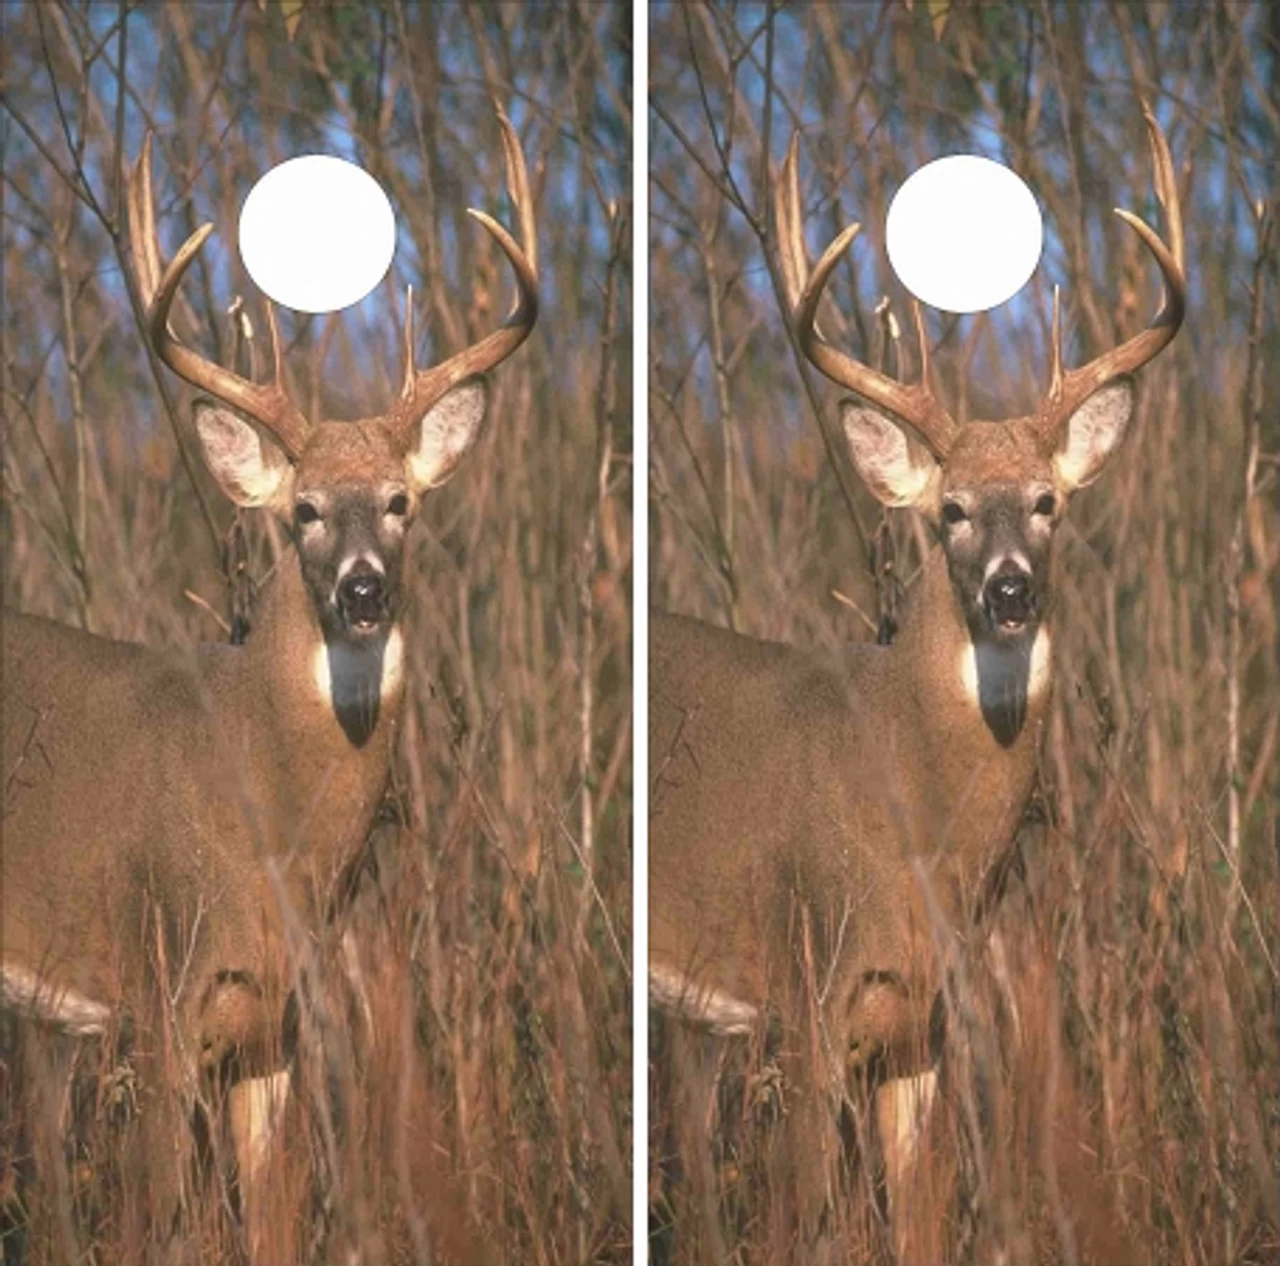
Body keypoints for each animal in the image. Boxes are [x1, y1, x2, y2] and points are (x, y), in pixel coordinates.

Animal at [1, 107, 537, 1260]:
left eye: (400, 502)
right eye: (302, 513)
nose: (363, 589)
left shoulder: (274, 1033)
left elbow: (276, 1224)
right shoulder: (155, 993)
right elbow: (156, 1223)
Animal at [649, 103, 1184, 1259]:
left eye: (1046, 502)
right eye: (949, 512)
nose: (1009, 589)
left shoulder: (922, 1031)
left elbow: (924, 1223)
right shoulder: (806, 998)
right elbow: (803, 1222)